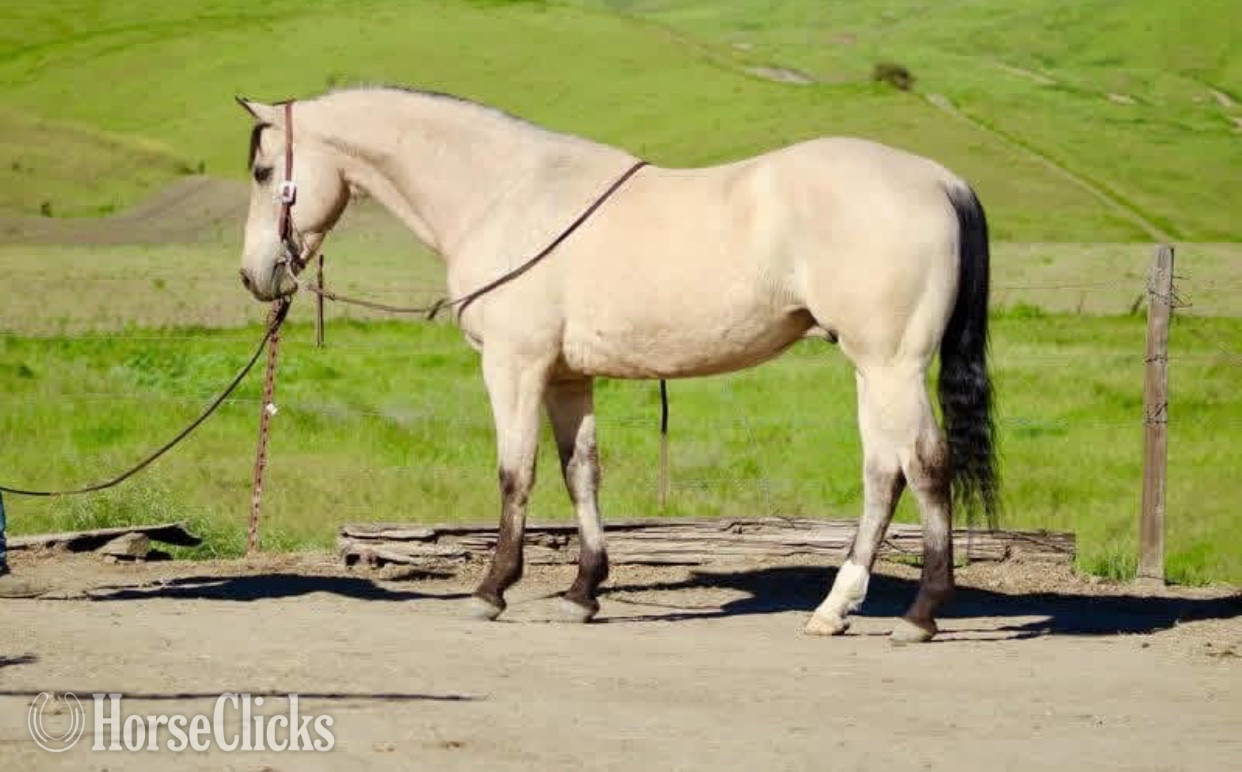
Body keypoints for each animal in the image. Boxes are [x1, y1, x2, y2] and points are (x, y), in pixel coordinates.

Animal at [236, 86, 997, 643]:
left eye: (264, 172)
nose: (254, 275)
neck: (506, 193)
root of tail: (941, 180)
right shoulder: (568, 378)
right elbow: (581, 474)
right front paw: (582, 593)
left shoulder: (514, 367)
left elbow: (515, 475)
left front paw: (492, 590)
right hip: (872, 370)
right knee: (883, 474)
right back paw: (836, 609)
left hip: (893, 366)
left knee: (926, 466)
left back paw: (920, 614)